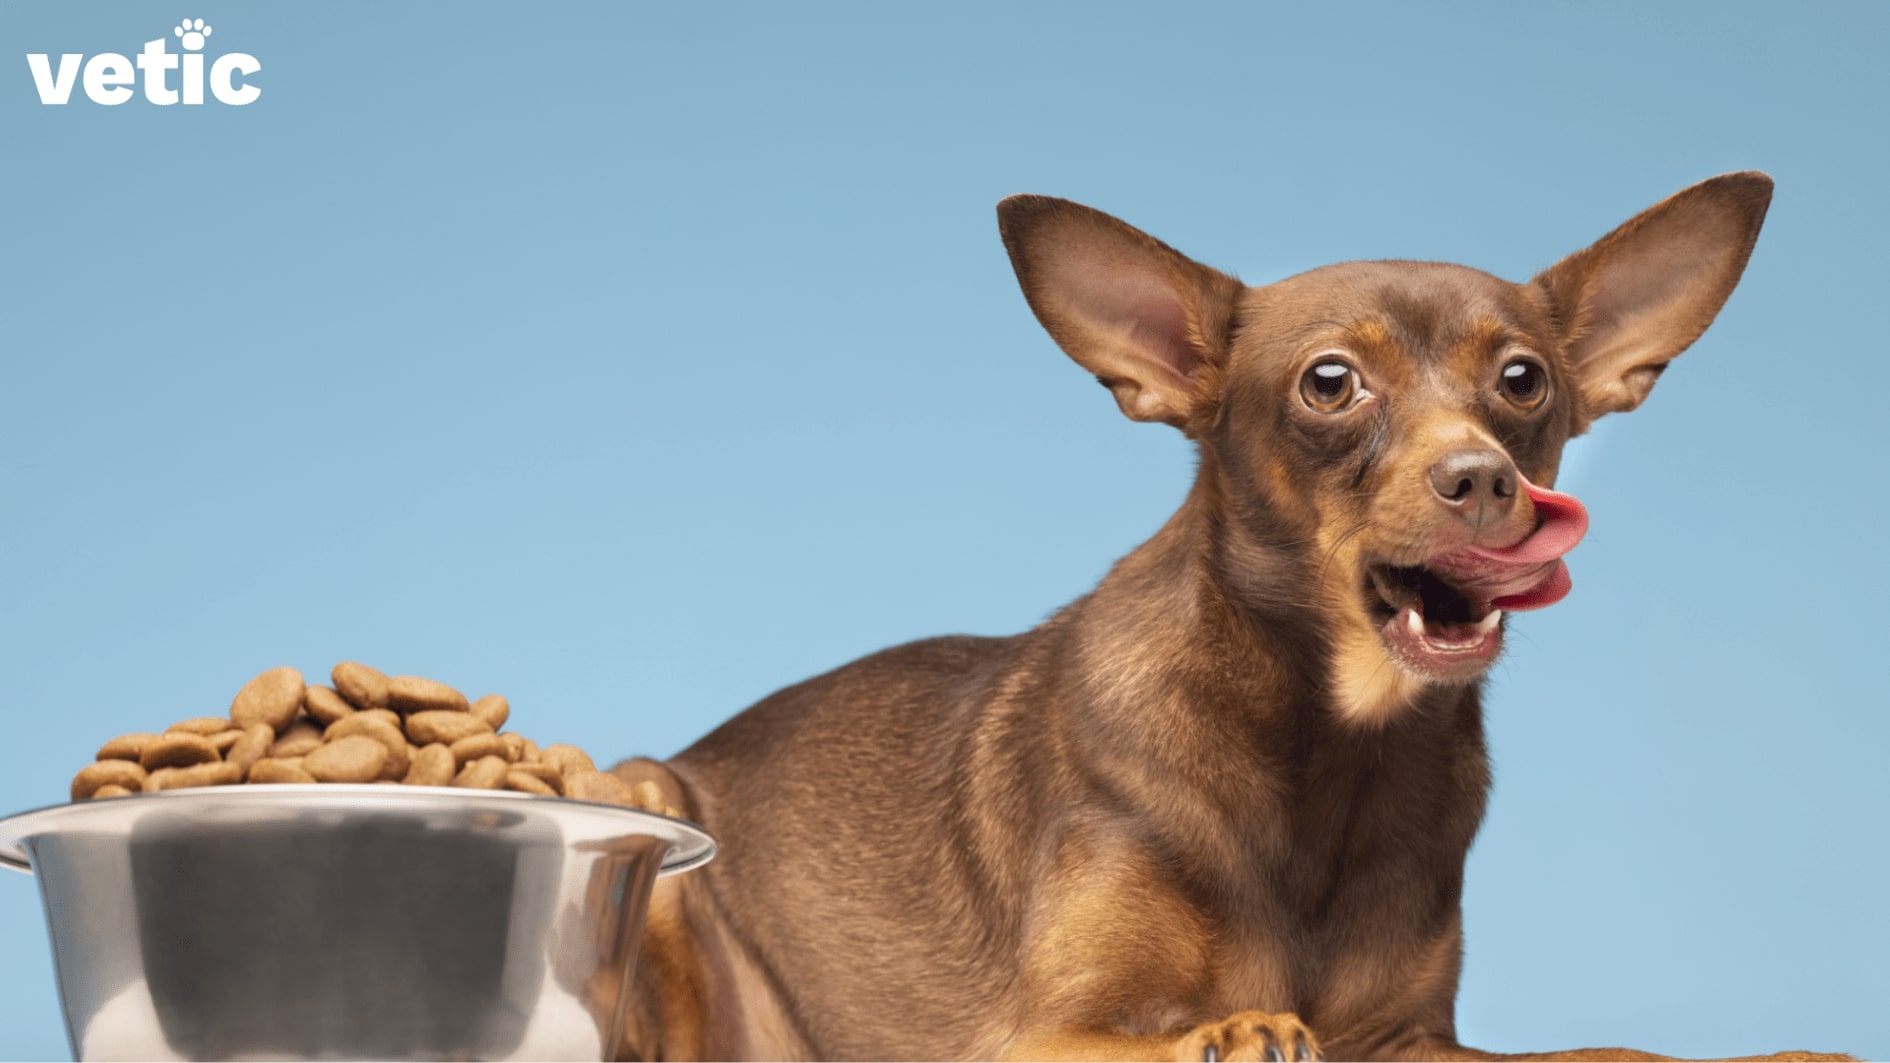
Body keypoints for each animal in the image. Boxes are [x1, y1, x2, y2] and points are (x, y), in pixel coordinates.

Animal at [616, 172, 1844, 1051]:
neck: (1330, 752)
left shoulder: (1408, 1039)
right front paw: (1242, 1028)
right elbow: (1196, 1031)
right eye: (1330, 382)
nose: (1484, 478)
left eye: (1524, 380)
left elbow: (1603, 1053)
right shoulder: (1043, 1034)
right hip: (642, 798)